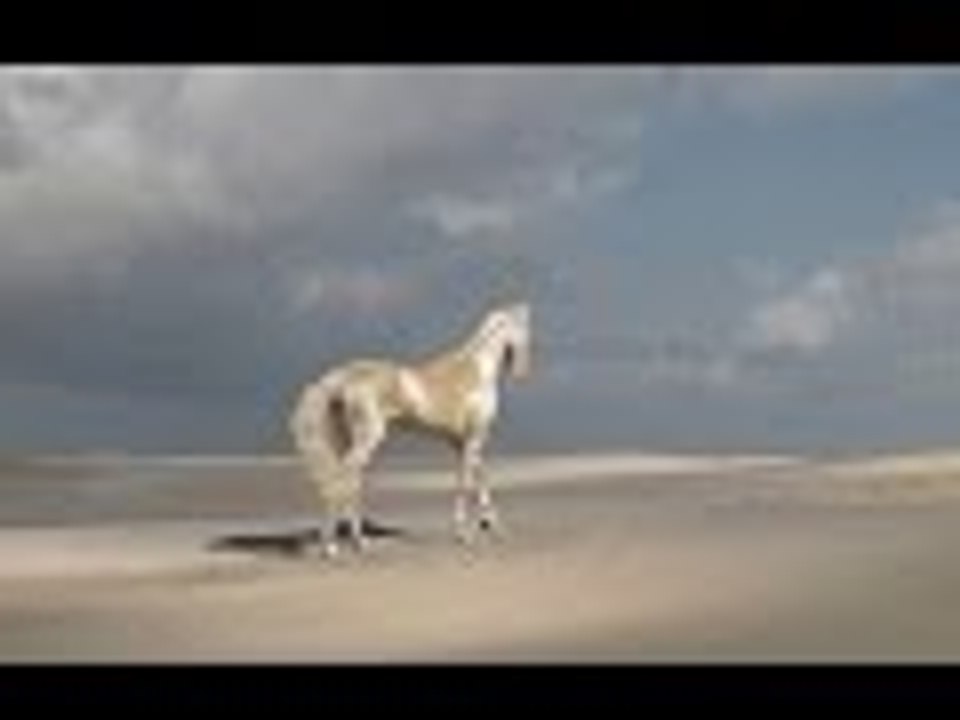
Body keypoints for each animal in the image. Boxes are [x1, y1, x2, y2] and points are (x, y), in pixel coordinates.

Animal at [288, 302, 532, 557]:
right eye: (523, 329)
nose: (522, 370)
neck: (476, 372)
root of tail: (342, 379)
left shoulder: (462, 442)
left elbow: (478, 476)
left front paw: (489, 524)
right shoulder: (475, 437)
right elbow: (466, 481)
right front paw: (465, 533)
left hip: (347, 439)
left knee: (351, 480)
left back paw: (358, 542)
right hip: (368, 438)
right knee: (343, 477)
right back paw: (333, 546)